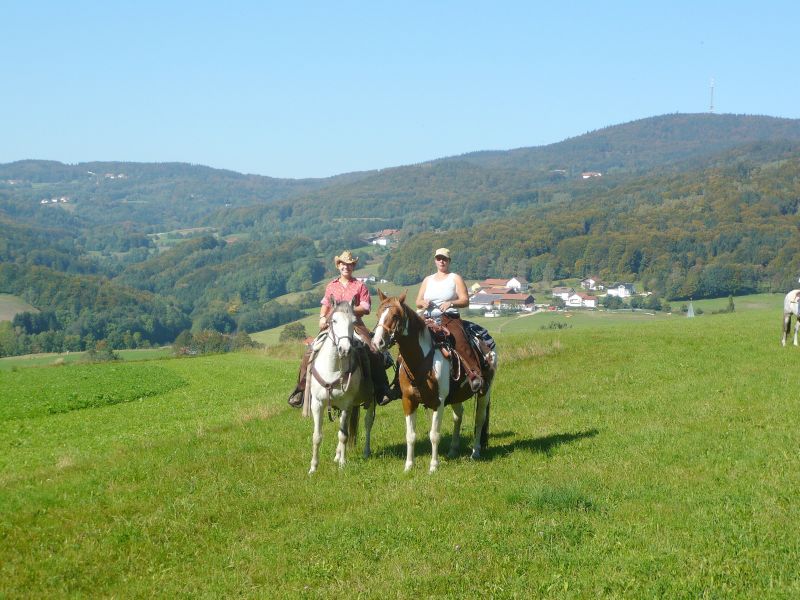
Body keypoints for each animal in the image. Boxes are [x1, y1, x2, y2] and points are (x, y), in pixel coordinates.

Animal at [304, 296, 376, 474]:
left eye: (353, 322)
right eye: (333, 321)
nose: (345, 349)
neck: (333, 368)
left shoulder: (346, 405)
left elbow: (343, 435)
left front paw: (343, 464)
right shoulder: (317, 404)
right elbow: (317, 436)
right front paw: (313, 468)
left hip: (370, 400)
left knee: (367, 423)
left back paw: (365, 452)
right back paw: (337, 456)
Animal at [372, 290, 496, 474]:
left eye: (395, 315)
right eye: (378, 314)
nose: (377, 342)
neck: (420, 360)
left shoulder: (438, 403)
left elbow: (434, 435)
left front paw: (433, 466)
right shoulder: (408, 401)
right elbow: (410, 435)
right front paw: (409, 466)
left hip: (484, 391)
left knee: (479, 419)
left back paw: (475, 452)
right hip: (456, 396)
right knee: (458, 416)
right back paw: (453, 450)